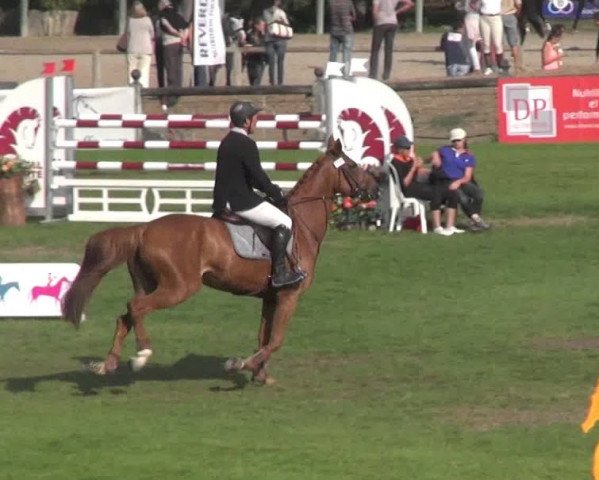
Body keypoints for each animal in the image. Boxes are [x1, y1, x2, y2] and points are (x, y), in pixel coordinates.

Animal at [61, 137, 380, 384]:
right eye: (352, 165)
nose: (376, 187)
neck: (300, 226)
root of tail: (143, 229)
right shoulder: (289, 295)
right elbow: (275, 340)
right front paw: (242, 364)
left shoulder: (270, 297)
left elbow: (264, 336)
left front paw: (260, 375)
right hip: (178, 288)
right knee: (136, 308)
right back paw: (142, 354)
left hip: (150, 284)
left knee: (126, 315)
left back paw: (108, 364)